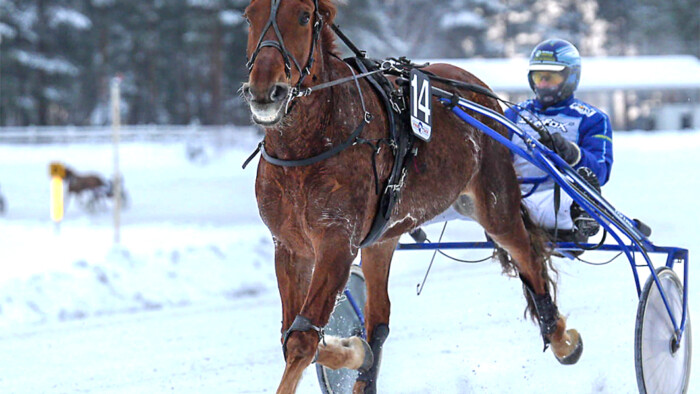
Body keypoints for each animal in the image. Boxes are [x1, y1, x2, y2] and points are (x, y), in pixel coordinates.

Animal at [243, 1, 584, 392]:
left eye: (302, 16)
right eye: (249, 16)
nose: (265, 91)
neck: (307, 146)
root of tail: (474, 85)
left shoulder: (337, 241)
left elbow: (302, 340)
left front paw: (350, 349)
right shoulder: (289, 246)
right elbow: (294, 334)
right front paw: (354, 349)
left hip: (494, 199)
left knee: (527, 253)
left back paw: (561, 338)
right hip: (383, 238)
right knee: (378, 319)